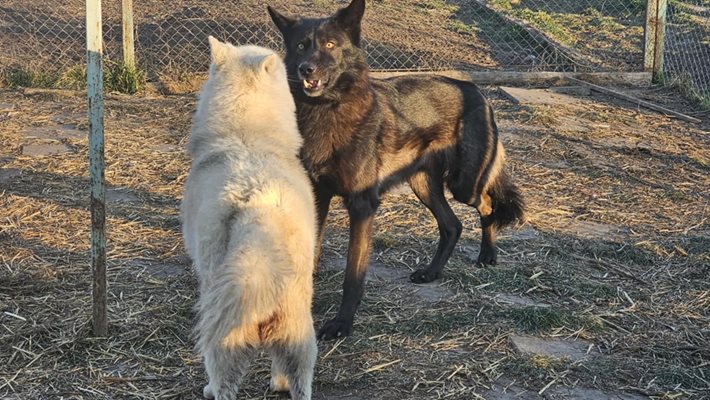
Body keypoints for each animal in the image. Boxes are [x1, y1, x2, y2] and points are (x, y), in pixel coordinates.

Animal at [182, 36, 318, 398]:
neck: (247, 135)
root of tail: (258, 209)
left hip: (223, 324)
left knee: (223, 378)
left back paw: (211, 389)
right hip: (297, 326)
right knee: (297, 373)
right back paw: (282, 385)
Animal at [270, 0, 524, 340]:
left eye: (330, 44)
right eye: (300, 45)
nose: (306, 69)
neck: (327, 110)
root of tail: (476, 90)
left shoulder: (362, 206)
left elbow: (353, 275)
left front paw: (342, 324)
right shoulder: (317, 195)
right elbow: (311, 253)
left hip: (464, 184)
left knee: (486, 204)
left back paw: (488, 254)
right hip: (423, 185)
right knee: (452, 225)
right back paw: (431, 272)